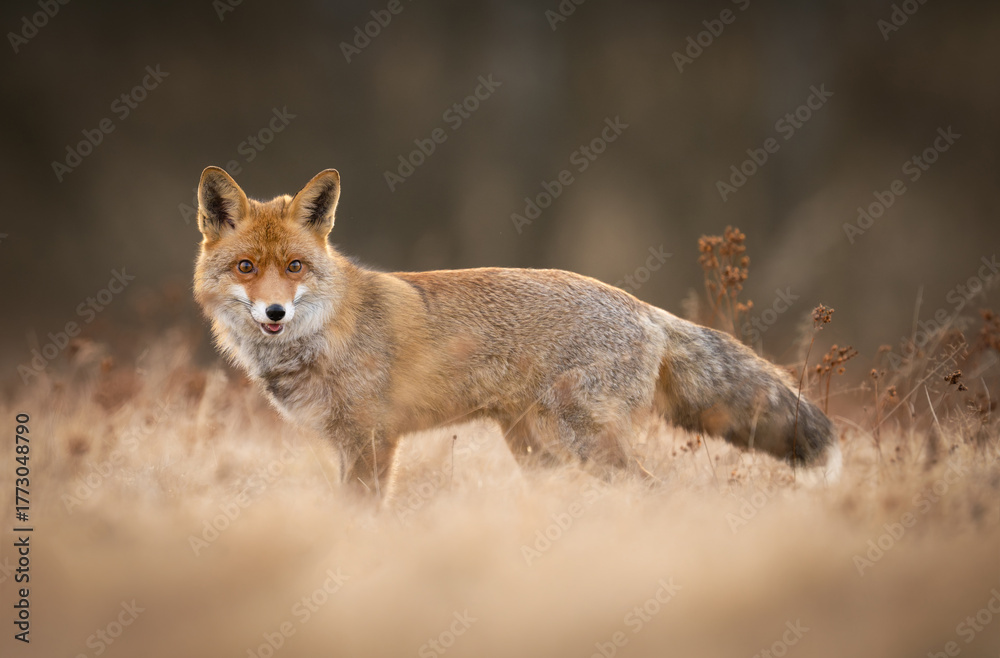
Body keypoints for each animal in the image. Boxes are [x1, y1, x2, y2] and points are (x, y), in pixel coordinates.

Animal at [193, 166, 841, 496]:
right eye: (246, 268)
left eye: (294, 267)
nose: (274, 313)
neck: (324, 336)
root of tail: (644, 308)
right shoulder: (350, 443)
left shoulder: (372, 439)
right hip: (535, 449)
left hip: (581, 437)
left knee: (650, 489)